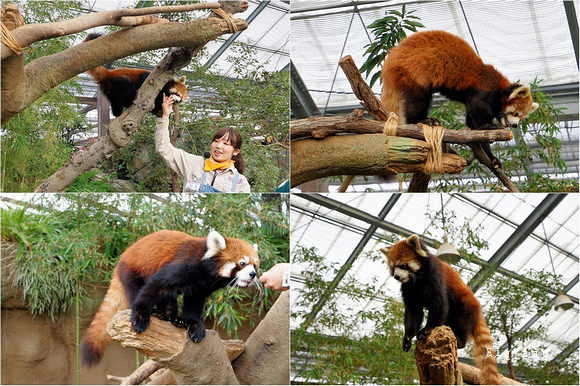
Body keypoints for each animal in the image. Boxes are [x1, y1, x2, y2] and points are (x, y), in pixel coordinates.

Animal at [80, 231, 260, 366]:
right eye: (242, 263)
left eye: (255, 265)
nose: (253, 274)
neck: (205, 272)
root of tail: (121, 258)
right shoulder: (183, 266)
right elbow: (155, 285)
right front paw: (140, 314)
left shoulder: (200, 288)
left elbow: (193, 305)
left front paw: (194, 325)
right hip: (132, 269)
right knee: (136, 290)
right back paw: (152, 313)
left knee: (168, 299)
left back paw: (172, 319)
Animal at [380, 30, 540, 169]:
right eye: (516, 114)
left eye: (521, 118)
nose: (515, 125)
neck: (499, 89)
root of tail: (392, 57)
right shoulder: (482, 91)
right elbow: (479, 113)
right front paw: (488, 126)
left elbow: (473, 126)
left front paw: (491, 157)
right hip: (416, 71)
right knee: (418, 100)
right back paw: (422, 120)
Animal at [380, 234, 498, 384]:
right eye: (392, 267)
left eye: (402, 265)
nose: (396, 276)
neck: (417, 279)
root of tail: (478, 310)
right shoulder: (409, 288)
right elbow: (413, 312)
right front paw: (407, 338)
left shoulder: (434, 276)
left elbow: (439, 304)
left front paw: (427, 330)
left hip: (464, 306)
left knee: (462, 321)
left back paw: (459, 340)